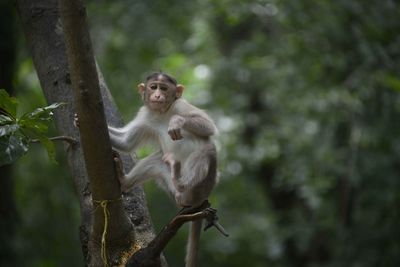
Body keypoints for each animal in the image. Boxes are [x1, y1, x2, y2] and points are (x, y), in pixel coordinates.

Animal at [108, 71, 217, 267]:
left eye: (164, 88)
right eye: (153, 87)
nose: (158, 96)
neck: (162, 113)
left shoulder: (180, 105)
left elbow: (208, 127)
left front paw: (176, 121)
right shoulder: (146, 115)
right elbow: (126, 143)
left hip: (203, 184)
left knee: (207, 149)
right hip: (173, 189)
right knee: (158, 160)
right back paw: (124, 180)